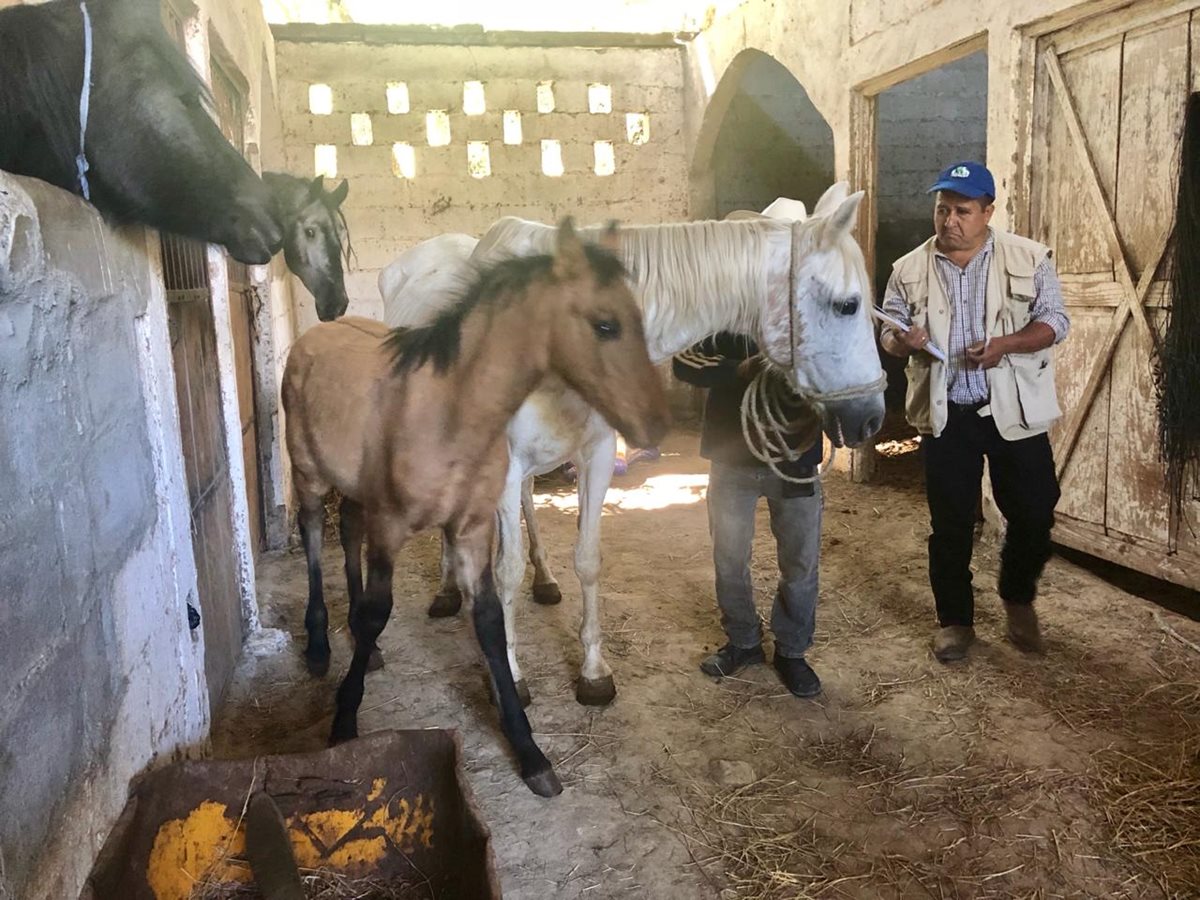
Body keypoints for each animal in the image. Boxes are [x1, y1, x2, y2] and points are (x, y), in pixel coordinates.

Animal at [281, 219, 670, 796]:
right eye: (605, 324)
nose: (656, 422)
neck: (448, 408)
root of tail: (316, 333)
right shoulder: (391, 526)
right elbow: (378, 611)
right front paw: (345, 720)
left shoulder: (470, 526)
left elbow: (488, 618)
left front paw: (530, 752)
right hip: (308, 476)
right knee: (311, 534)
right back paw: (318, 645)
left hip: (354, 487)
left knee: (347, 530)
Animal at [378, 184, 885, 707]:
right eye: (847, 305)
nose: (870, 417)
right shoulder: (504, 463)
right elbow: (505, 570)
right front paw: (511, 677)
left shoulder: (596, 455)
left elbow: (586, 560)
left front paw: (593, 673)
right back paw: (447, 591)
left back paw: (545, 580)